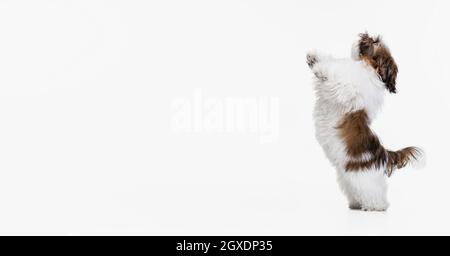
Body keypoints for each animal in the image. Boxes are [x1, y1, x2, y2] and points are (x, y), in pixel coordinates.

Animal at [308, 33, 424, 211]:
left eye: (374, 42)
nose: (364, 35)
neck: (368, 66)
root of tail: (383, 154)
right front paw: (314, 57)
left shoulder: (347, 88)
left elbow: (337, 78)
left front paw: (320, 68)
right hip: (348, 178)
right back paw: (356, 203)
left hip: (364, 178)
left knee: (375, 193)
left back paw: (375, 206)